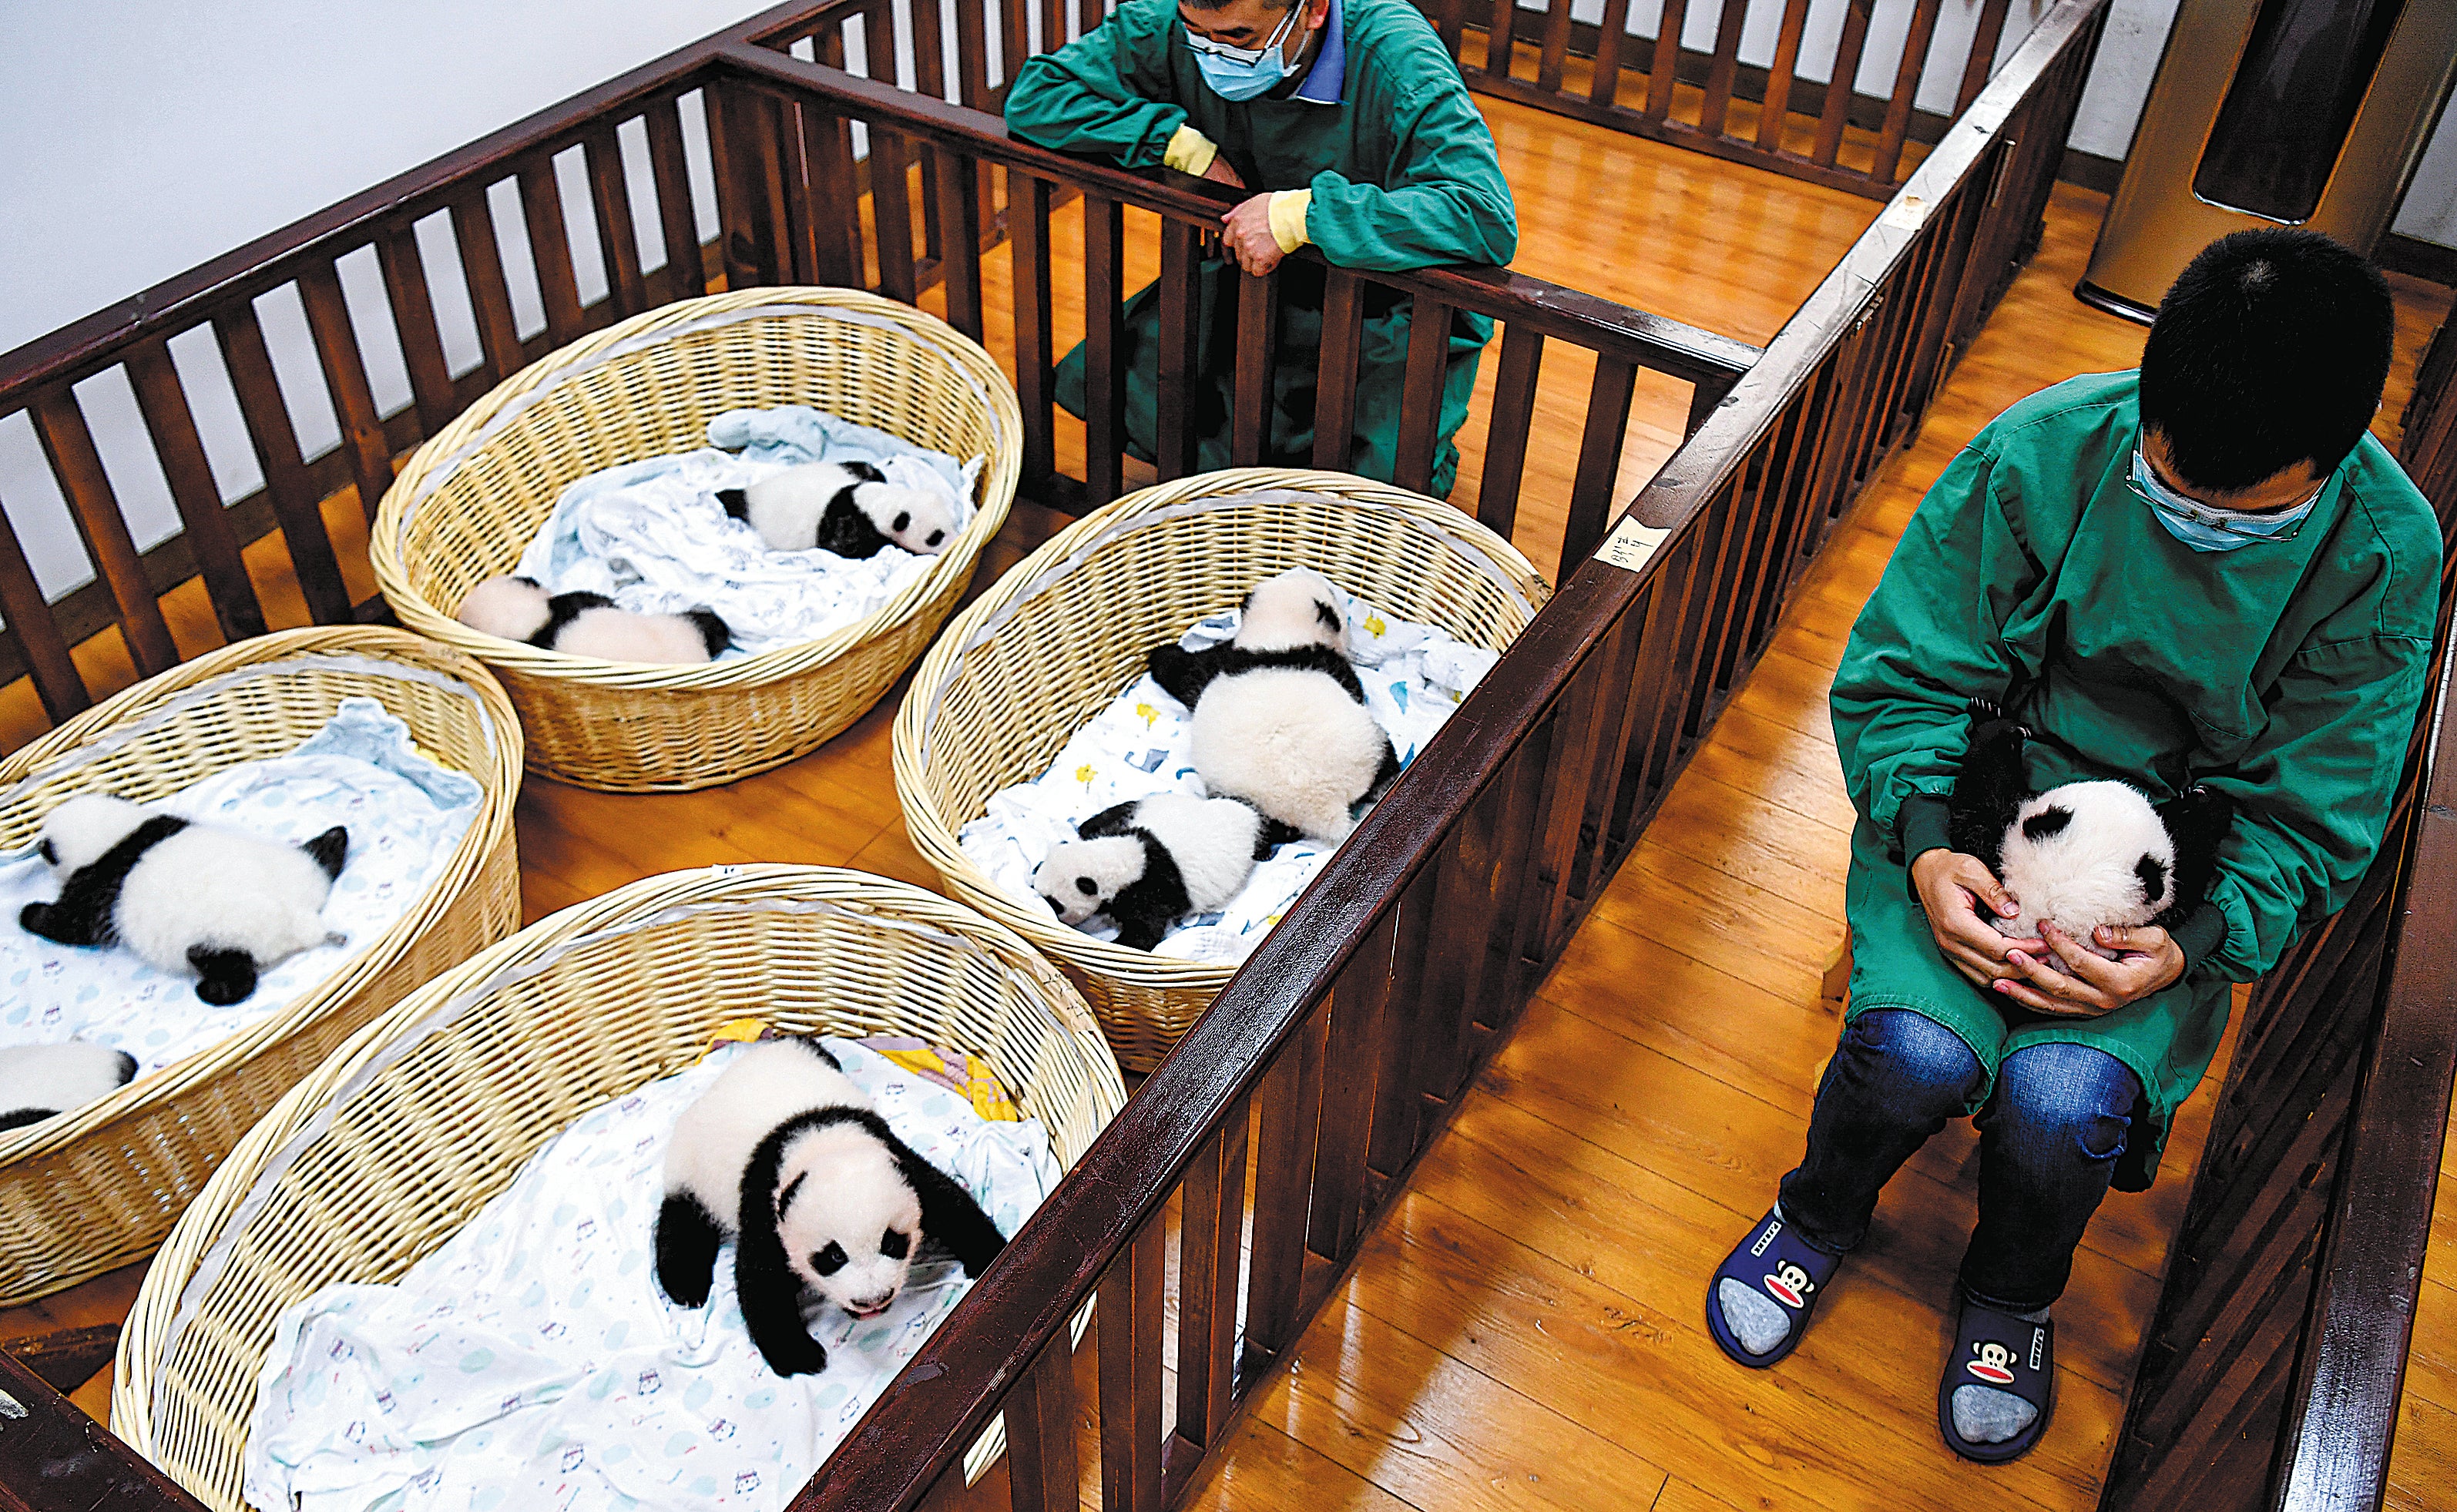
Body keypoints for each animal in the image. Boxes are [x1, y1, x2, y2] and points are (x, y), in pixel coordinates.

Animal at [18, 790, 348, 1006]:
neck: (114, 834)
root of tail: (301, 917)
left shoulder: (94, 885)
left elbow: (74, 925)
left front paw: (30, 913)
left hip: (228, 938)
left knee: (235, 974)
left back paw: (208, 984)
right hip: (297, 869)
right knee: (320, 857)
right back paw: (334, 839)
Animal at [653, 1035, 1007, 1374]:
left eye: (892, 1242)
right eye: (834, 1256)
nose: (873, 1299)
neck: (823, 1146)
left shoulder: (896, 1160)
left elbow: (947, 1203)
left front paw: (990, 1257)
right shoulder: (766, 1203)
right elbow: (761, 1278)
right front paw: (799, 1357)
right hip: (693, 1167)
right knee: (683, 1217)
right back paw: (685, 1286)